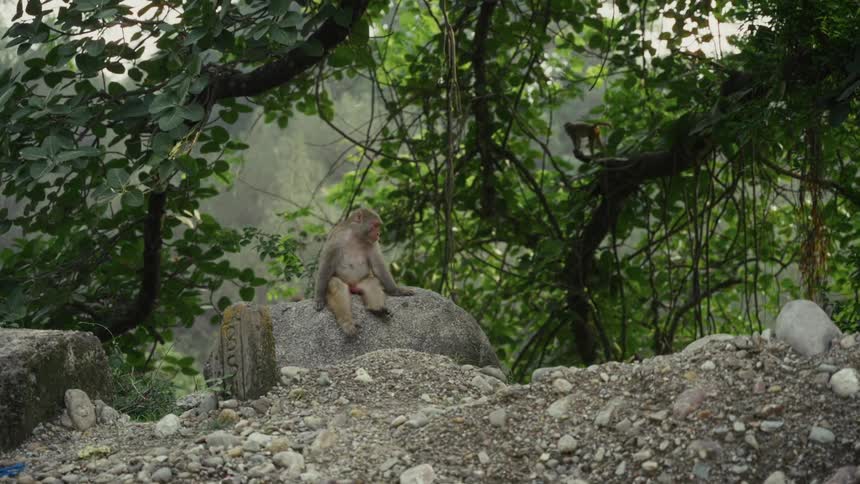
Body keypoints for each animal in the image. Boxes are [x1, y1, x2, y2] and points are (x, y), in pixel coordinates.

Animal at [314, 207, 414, 337]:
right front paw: (319, 298)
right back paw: (347, 323)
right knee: (336, 285)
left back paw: (377, 309)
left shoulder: (373, 242)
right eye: (375, 225)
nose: (378, 234)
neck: (356, 236)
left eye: (378, 226)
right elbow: (326, 266)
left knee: (372, 282)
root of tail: (353, 287)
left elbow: (378, 266)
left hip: (360, 282)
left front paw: (396, 291)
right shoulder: (336, 239)